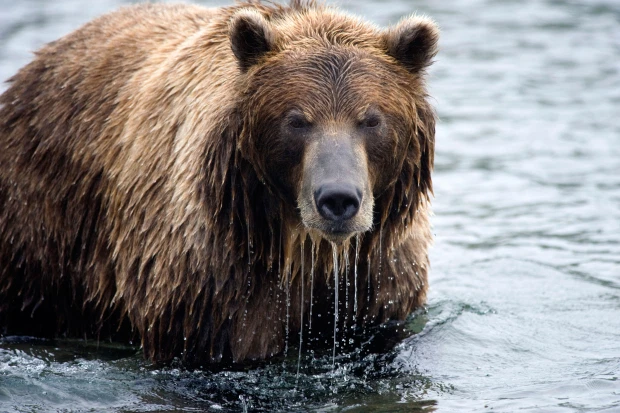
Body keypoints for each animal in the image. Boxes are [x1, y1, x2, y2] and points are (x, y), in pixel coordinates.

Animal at [0, 0, 436, 364]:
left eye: (371, 119)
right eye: (296, 120)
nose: (338, 198)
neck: (303, 248)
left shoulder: (380, 278)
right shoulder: (213, 277)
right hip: (44, 228)